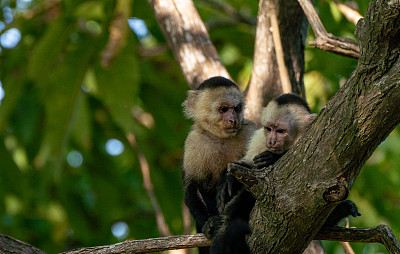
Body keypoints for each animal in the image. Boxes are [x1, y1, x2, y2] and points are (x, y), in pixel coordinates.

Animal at [182, 76, 256, 254]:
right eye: (223, 109)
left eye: (236, 109)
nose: (233, 120)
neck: (220, 137)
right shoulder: (193, 141)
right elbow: (191, 187)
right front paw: (208, 224)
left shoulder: (249, 130)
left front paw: (228, 178)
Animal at [211, 94, 360, 254]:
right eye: (269, 129)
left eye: (281, 131)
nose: (271, 141)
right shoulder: (260, 138)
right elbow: (246, 167)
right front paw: (229, 179)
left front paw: (271, 158)